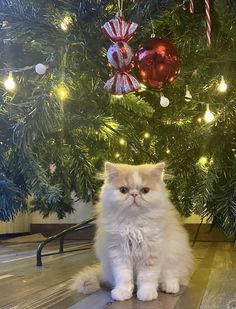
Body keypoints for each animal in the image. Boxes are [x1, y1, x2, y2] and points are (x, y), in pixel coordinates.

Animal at [70, 162, 194, 300]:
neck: (134, 225)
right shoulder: (119, 254)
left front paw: (146, 294)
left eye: (145, 190)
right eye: (123, 190)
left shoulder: (151, 254)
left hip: (174, 256)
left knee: (172, 276)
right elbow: (124, 277)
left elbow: (147, 277)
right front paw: (122, 293)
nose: (134, 194)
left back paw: (170, 287)